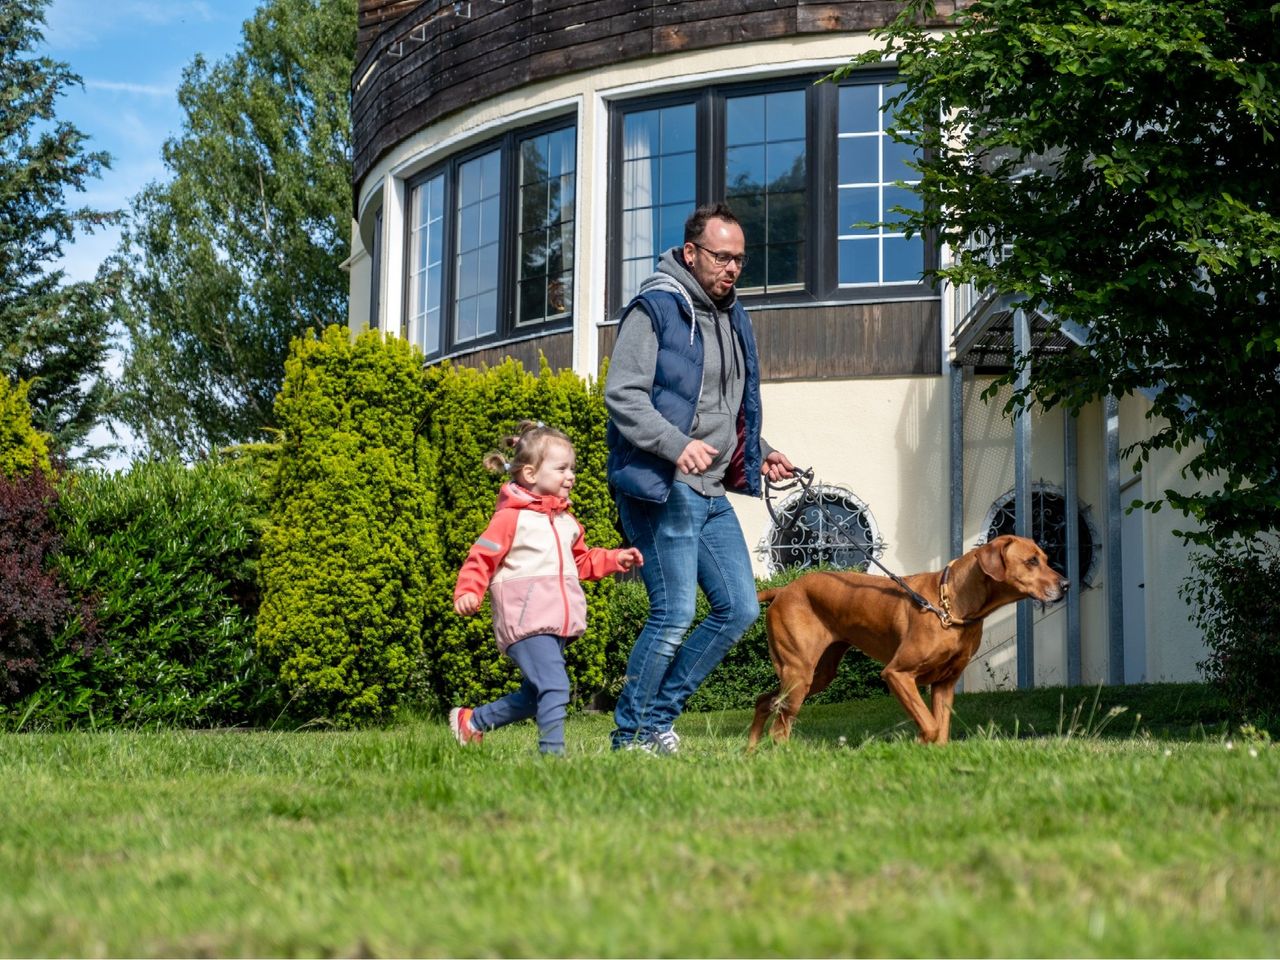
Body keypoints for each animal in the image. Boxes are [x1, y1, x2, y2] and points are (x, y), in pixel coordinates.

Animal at [747, 537, 1070, 747]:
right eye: (1031, 561)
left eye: (1045, 559)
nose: (1066, 585)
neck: (950, 606)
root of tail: (783, 589)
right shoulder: (897, 674)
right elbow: (930, 724)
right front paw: (918, 743)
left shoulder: (945, 683)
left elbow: (941, 730)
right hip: (799, 673)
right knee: (780, 727)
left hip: (818, 674)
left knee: (764, 701)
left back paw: (751, 754)